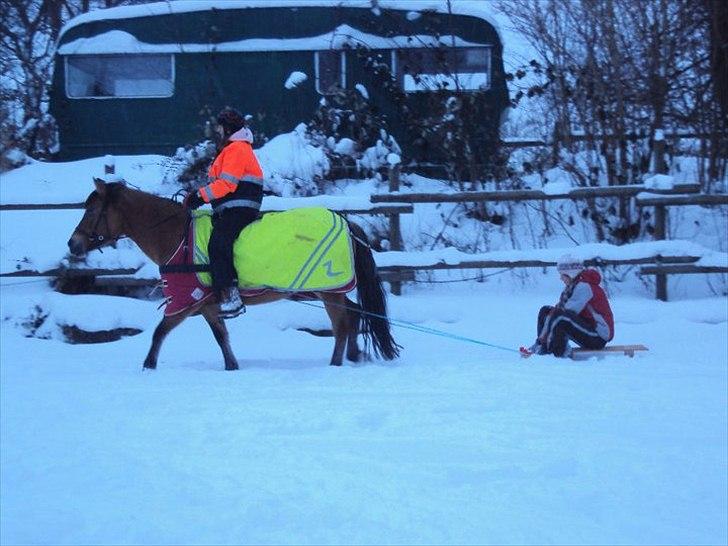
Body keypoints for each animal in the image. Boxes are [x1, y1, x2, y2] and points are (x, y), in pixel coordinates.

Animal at [66, 178, 400, 370]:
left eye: (92, 211)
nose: (73, 243)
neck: (175, 236)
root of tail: (348, 224)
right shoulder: (207, 305)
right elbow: (221, 336)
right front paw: (232, 366)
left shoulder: (185, 301)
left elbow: (160, 332)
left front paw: (148, 367)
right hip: (330, 290)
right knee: (354, 314)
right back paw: (354, 356)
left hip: (328, 290)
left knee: (342, 326)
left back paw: (335, 364)